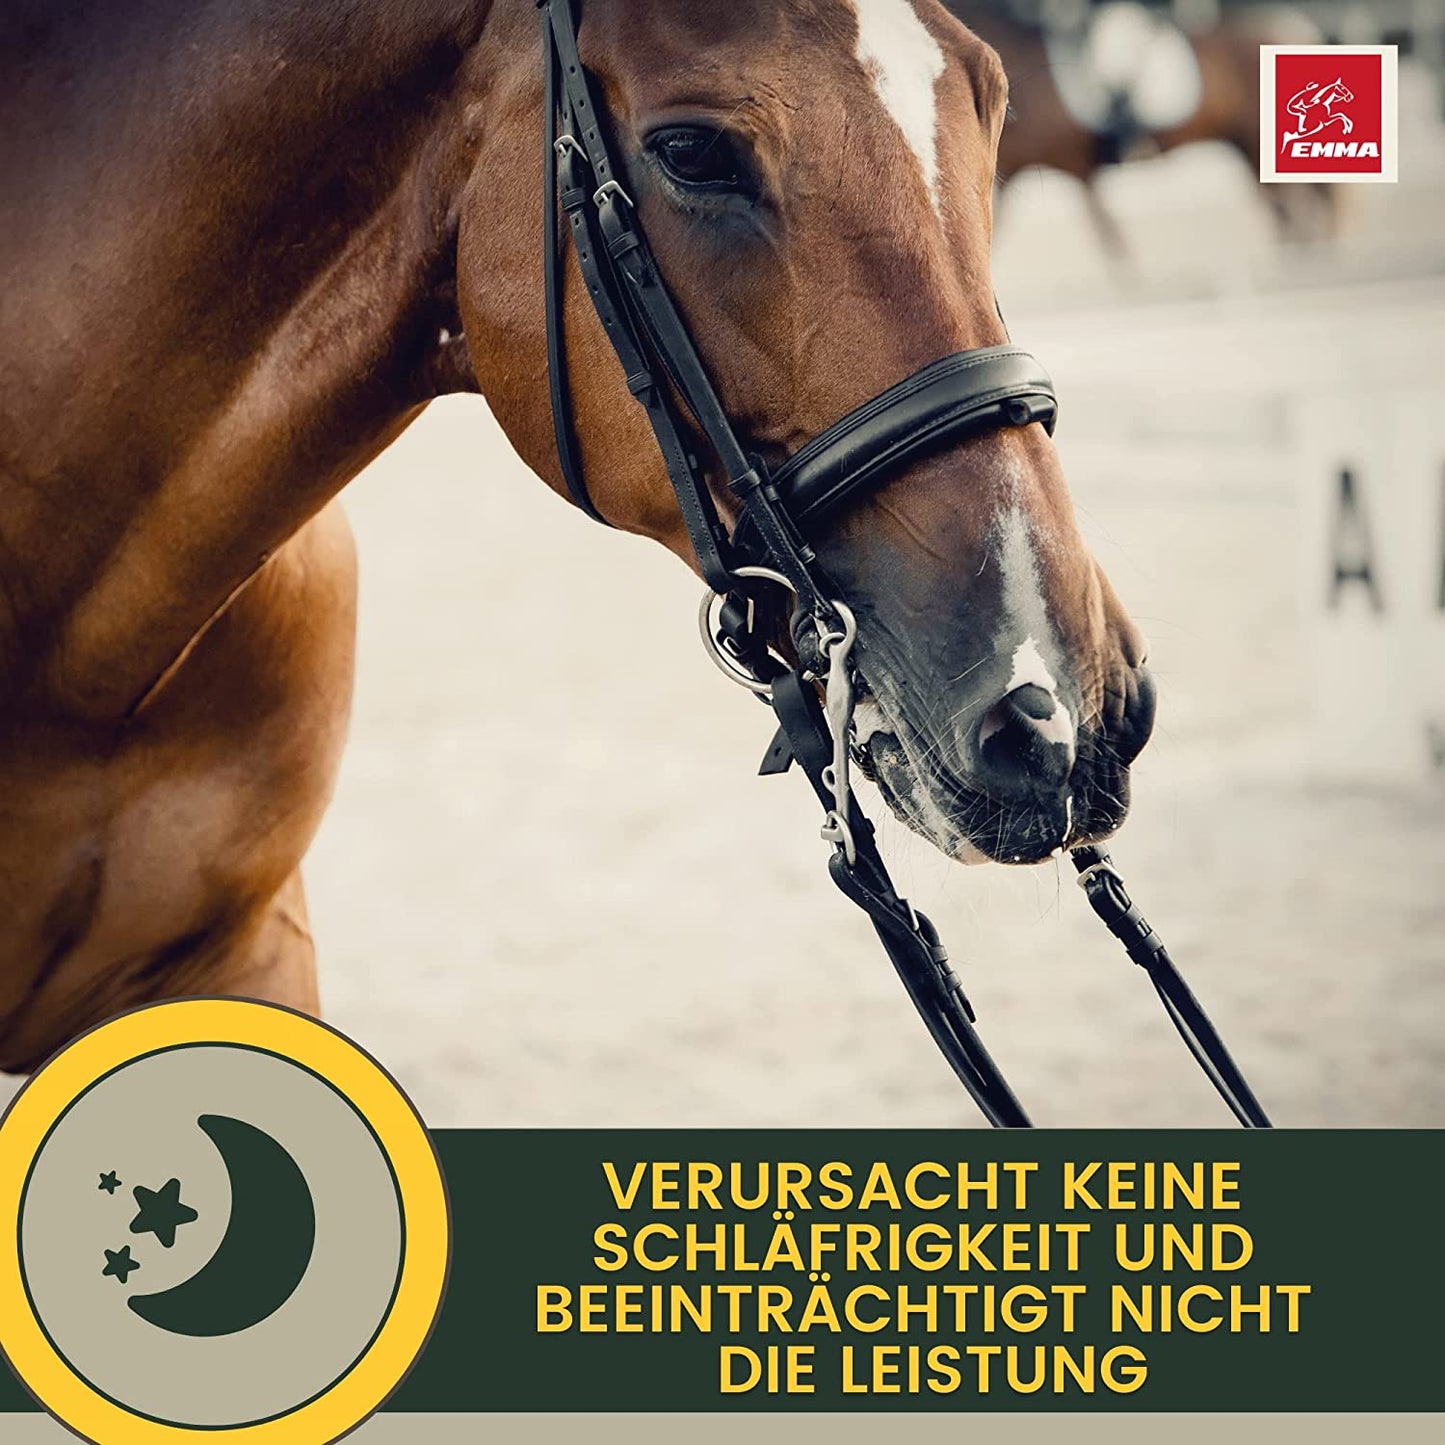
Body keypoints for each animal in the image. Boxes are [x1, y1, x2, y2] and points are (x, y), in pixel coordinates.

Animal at [943, 1, 1343, 252]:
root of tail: (1296, 28)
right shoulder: (1024, 170)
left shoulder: (1074, 169)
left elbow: (1113, 243)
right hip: (1247, 148)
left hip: (1257, 145)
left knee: (1296, 210)